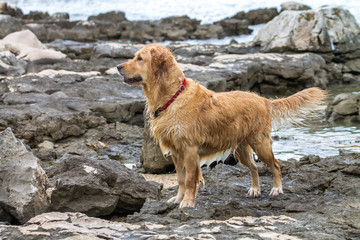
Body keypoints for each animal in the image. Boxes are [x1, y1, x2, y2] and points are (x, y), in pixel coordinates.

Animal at [117, 44, 326, 209]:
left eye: (139, 58)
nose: (118, 66)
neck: (172, 96)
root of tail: (264, 100)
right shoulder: (176, 151)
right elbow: (180, 179)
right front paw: (177, 199)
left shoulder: (190, 150)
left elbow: (190, 179)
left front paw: (188, 202)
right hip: (241, 149)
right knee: (254, 167)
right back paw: (255, 189)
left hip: (261, 143)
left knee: (275, 164)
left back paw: (276, 189)